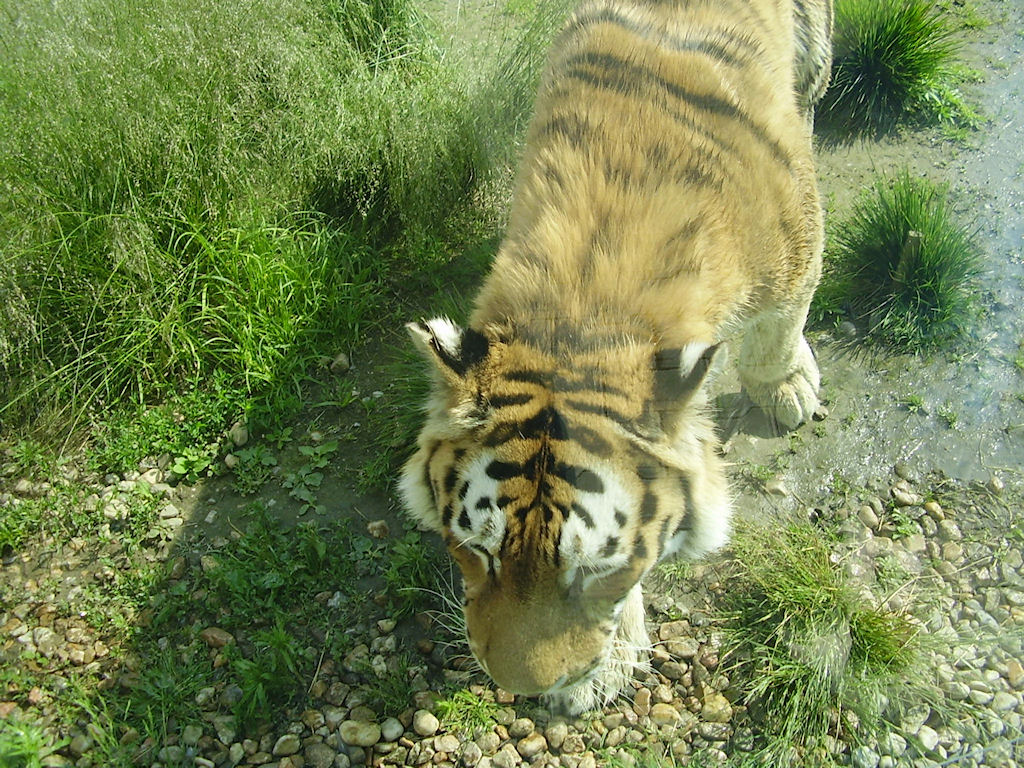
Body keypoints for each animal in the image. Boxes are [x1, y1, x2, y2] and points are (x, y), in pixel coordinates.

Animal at [400, 0, 832, 713]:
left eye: (595, 568)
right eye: (477, 551)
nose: (516, 686)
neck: (584, 303)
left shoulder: (799, 244)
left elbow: (781, 323)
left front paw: (786, 386)